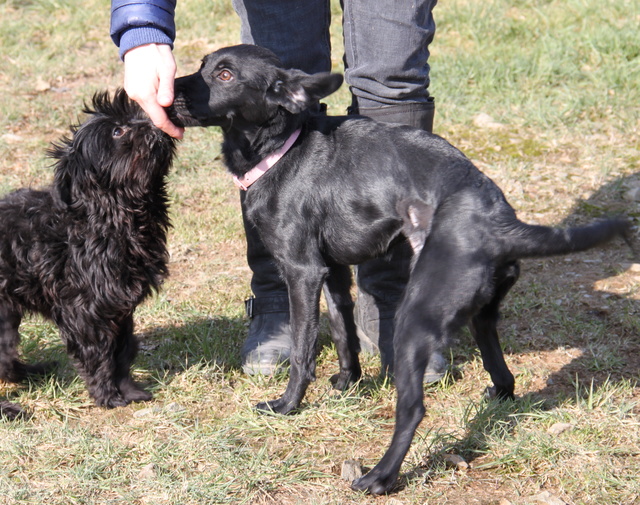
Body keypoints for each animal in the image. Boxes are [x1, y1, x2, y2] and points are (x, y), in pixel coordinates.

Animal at [0, 89, 175, 418]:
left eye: (136, 115)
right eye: (118, 131)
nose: (151, 122)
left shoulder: (118, 307)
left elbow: (122, 353)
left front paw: (129, 391)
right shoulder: (84, 312)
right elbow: (97, 356)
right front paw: (106, 396)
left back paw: (30, 372)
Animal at [170, 45, 636, 494]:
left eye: (225, 74)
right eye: (204, 65)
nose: (167, 91)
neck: (283, 146)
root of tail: (500, 221)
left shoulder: (301, 271)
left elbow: (304, 350)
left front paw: (288, 405)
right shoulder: (332, 271)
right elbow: (343, 331)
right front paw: (348, 382)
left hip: (415, 321)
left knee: (412, 410)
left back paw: (380, 476)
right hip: (481, 315)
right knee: (503, 372)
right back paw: (495, 396)